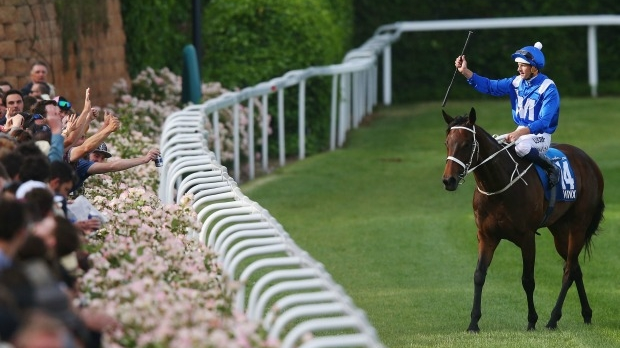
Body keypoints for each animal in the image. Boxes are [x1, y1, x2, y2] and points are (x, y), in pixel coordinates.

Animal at [440, 106, 604, 332]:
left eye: (466, 144)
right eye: (447, 143)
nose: (449, 180)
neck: (499, 186)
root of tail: (590, 162)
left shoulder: (527, 238)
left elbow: (528, 280)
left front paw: (532, 320)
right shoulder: (486, 236)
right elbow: (479, 275)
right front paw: (473, 322)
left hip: (579, 225)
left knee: (569, 270)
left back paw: (553, 319)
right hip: (560, 230)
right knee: (575, 268)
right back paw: (586, 314)